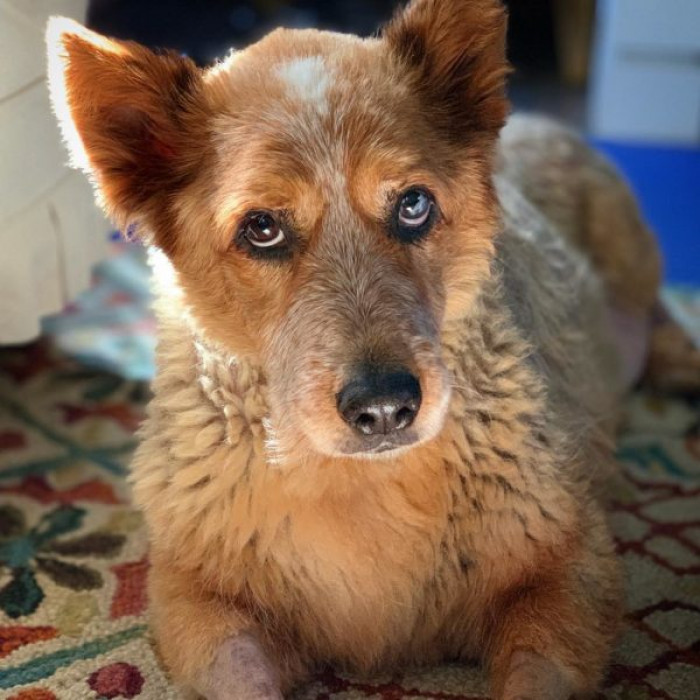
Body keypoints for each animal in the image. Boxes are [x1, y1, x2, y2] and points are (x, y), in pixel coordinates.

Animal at [46, 2, 664, 696]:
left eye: (413, 204)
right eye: (262, 228)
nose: (386, 409)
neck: (357, 482)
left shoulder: (571, 569)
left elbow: (535, 675)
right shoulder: (195, 599)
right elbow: (241, 674)